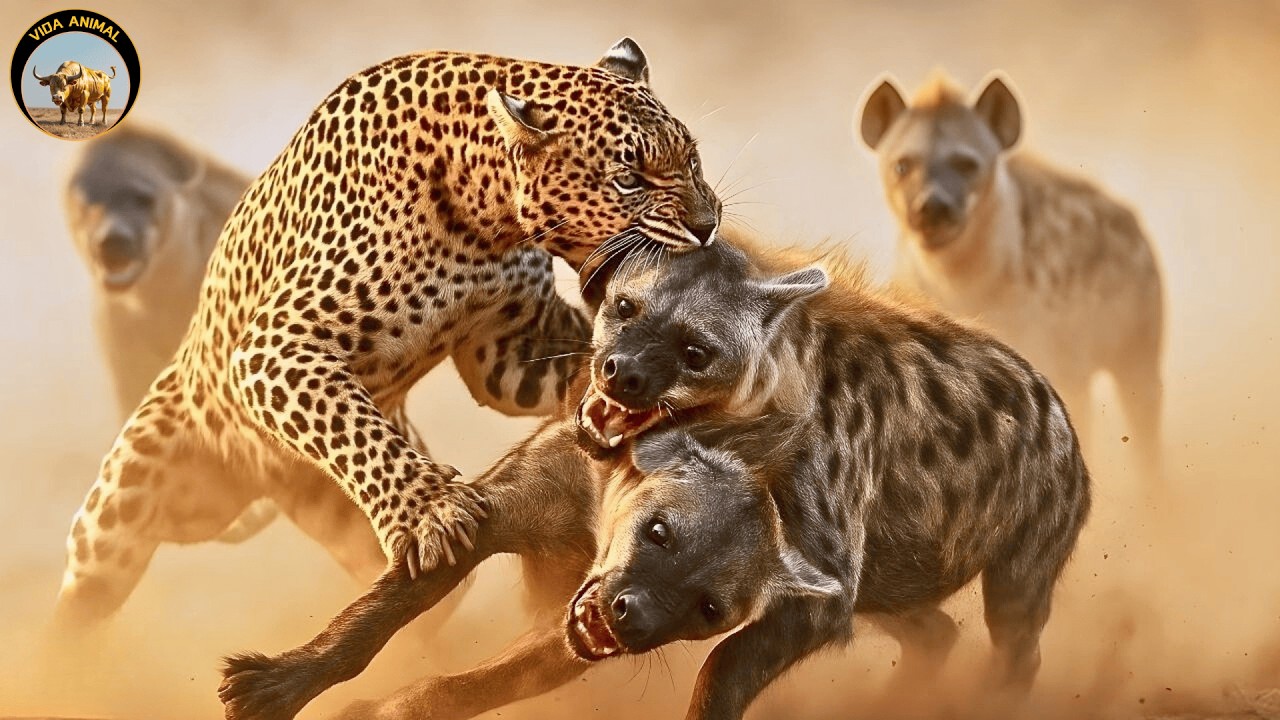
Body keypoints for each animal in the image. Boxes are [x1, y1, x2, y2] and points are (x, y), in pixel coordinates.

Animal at [52, 37, 721, 631]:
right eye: (629, 179)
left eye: (690, 158)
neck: (485, 219)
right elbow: (351, 428)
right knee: (83, 597)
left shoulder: (509, 347)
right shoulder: (277, 344)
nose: (708, 225)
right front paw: (430, 512)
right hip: (118, 511)